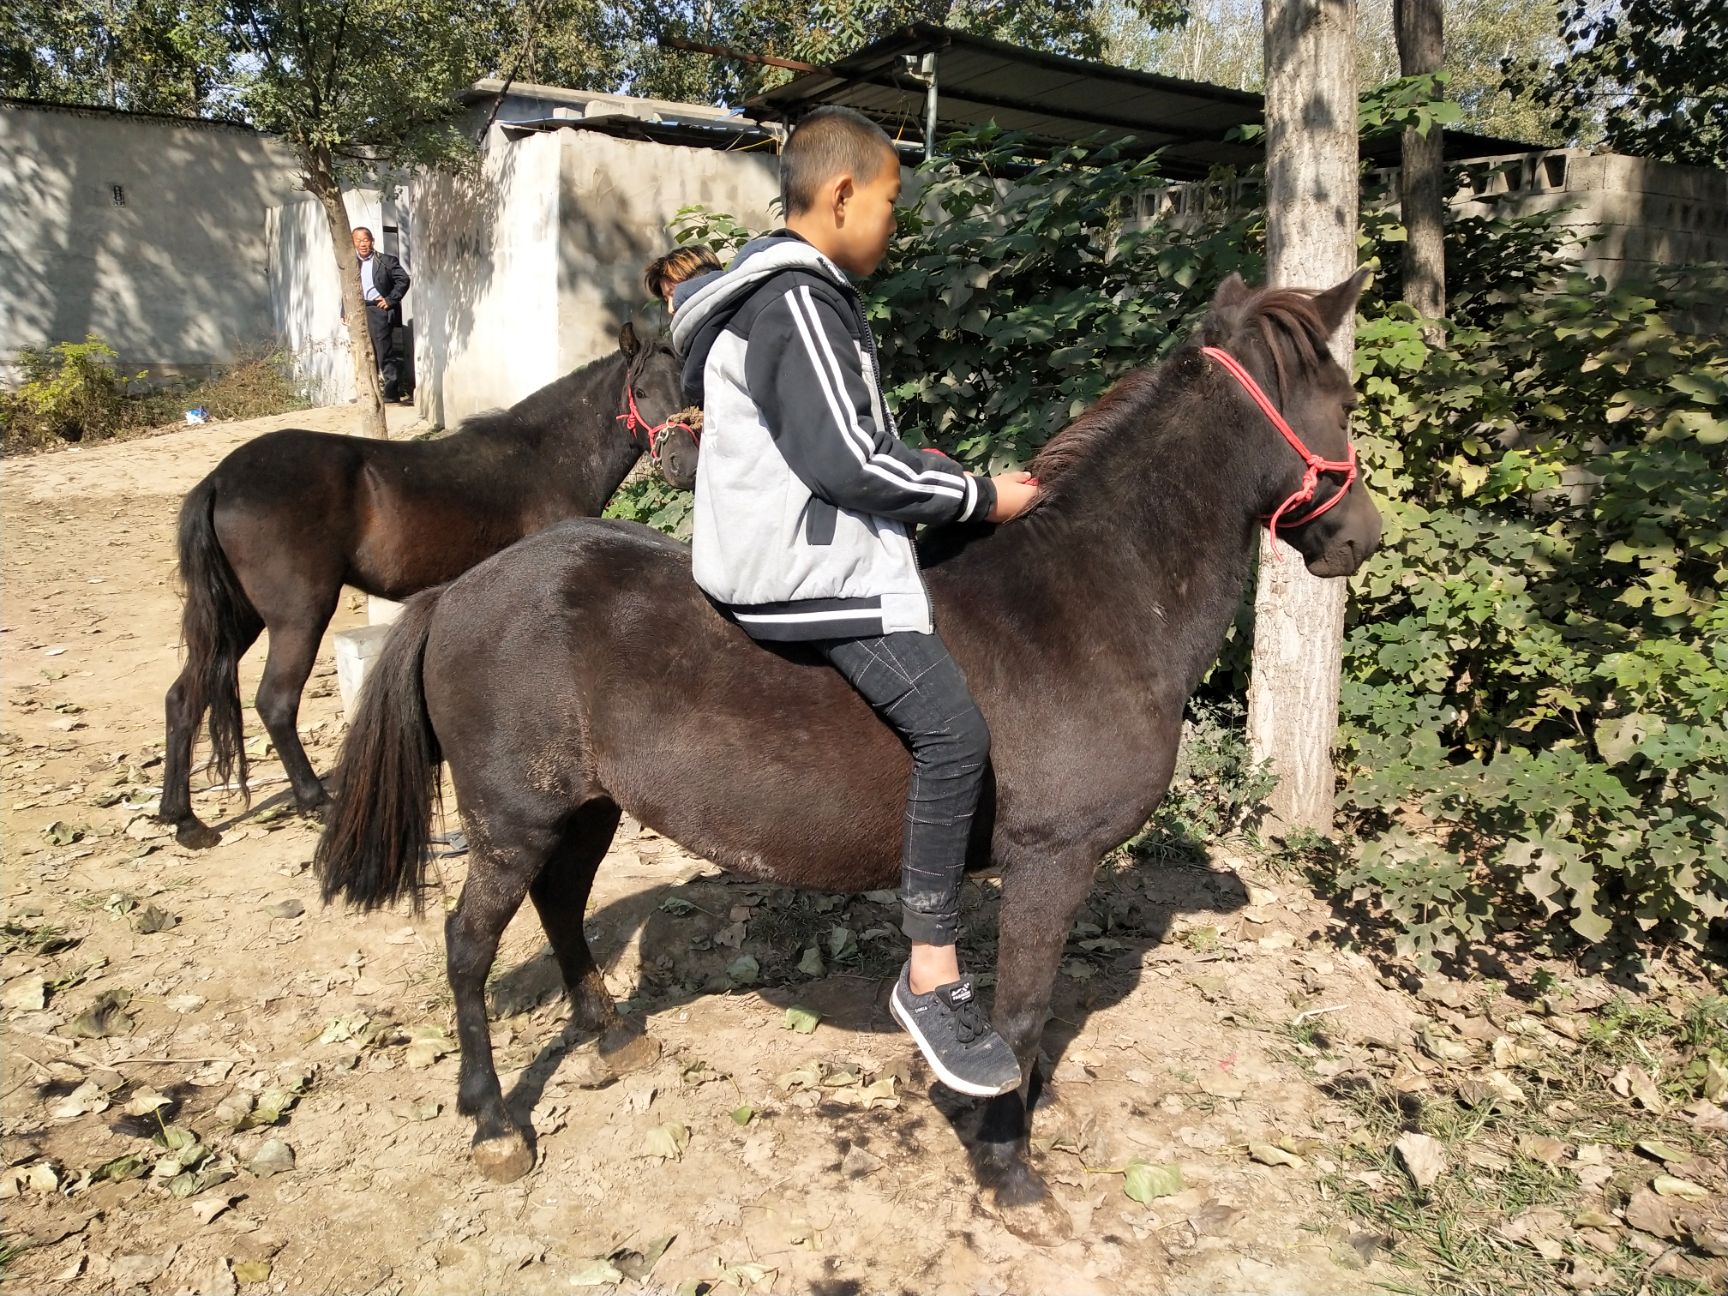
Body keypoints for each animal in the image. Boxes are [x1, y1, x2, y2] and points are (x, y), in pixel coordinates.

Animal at [153, 324, 680, 853]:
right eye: (640, 391)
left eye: (684, 388)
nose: (682, 462)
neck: (545, 457)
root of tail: (219, 480)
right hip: (298, 615)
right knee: (275, 701)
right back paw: (313, 799)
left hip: (239, 618)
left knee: (183, 697)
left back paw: (185, 820)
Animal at [317, 276, 1382, 1251]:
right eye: (1338, 401)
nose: (1362, 536)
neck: (1087, 601)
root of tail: (459, 592)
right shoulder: (1051, 860)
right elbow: (1022, 1014)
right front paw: (1006, 1163)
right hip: (511, 820)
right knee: (468, 947)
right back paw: (494, 1121)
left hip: (584, 808)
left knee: (562, 904)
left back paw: (609, 1033)